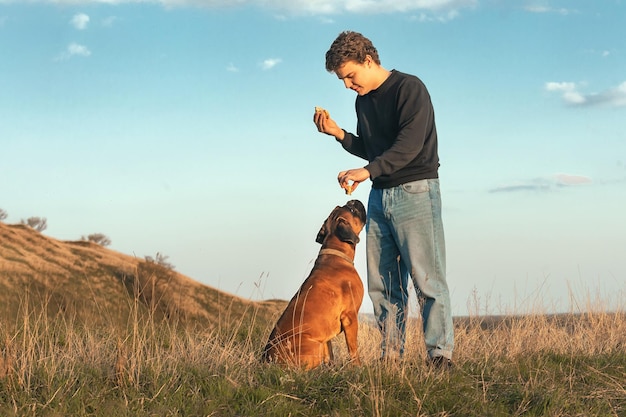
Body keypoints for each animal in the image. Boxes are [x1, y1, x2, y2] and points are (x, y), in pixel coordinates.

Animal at [260, 200, 366, 368]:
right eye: (351, 209)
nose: (354, 201)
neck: (336, 252)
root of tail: (267, 358)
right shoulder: (350, 317)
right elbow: (353, 348)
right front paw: (357, 367)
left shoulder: (327, 333)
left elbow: (330, 353)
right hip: (314, 344)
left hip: (319, 343)